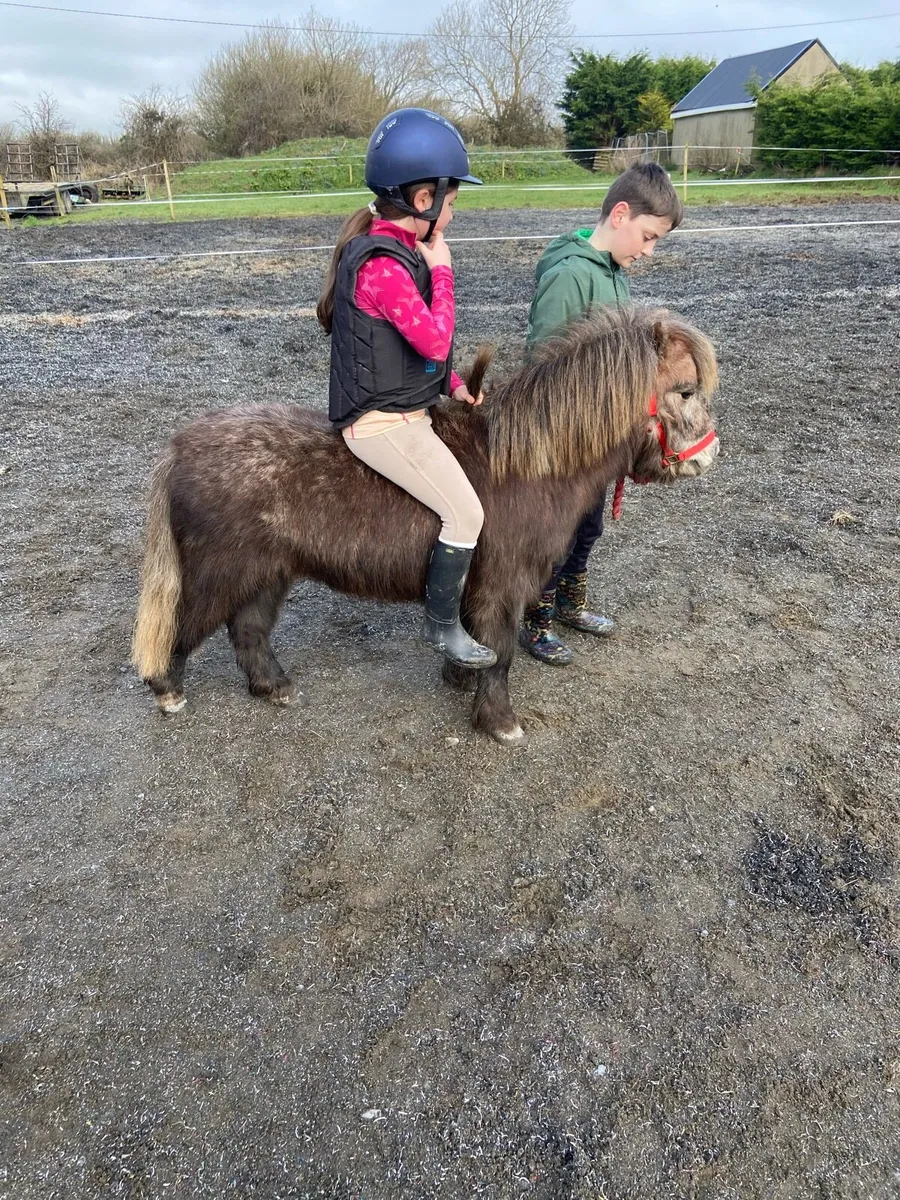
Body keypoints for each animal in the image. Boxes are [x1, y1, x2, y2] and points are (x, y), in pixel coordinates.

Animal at [132, 305, 719, 743]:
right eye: (686, 391)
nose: (707, 456)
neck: (523, 460)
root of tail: (180, 447)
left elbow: (477, 640)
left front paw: (461, 674)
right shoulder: (502, 585)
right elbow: (501, 651)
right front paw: (499, 721)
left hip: (267, 573)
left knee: (248, 629)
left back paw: (273, 686)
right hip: (222, 572)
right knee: (182, 626)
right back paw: (166, 689)